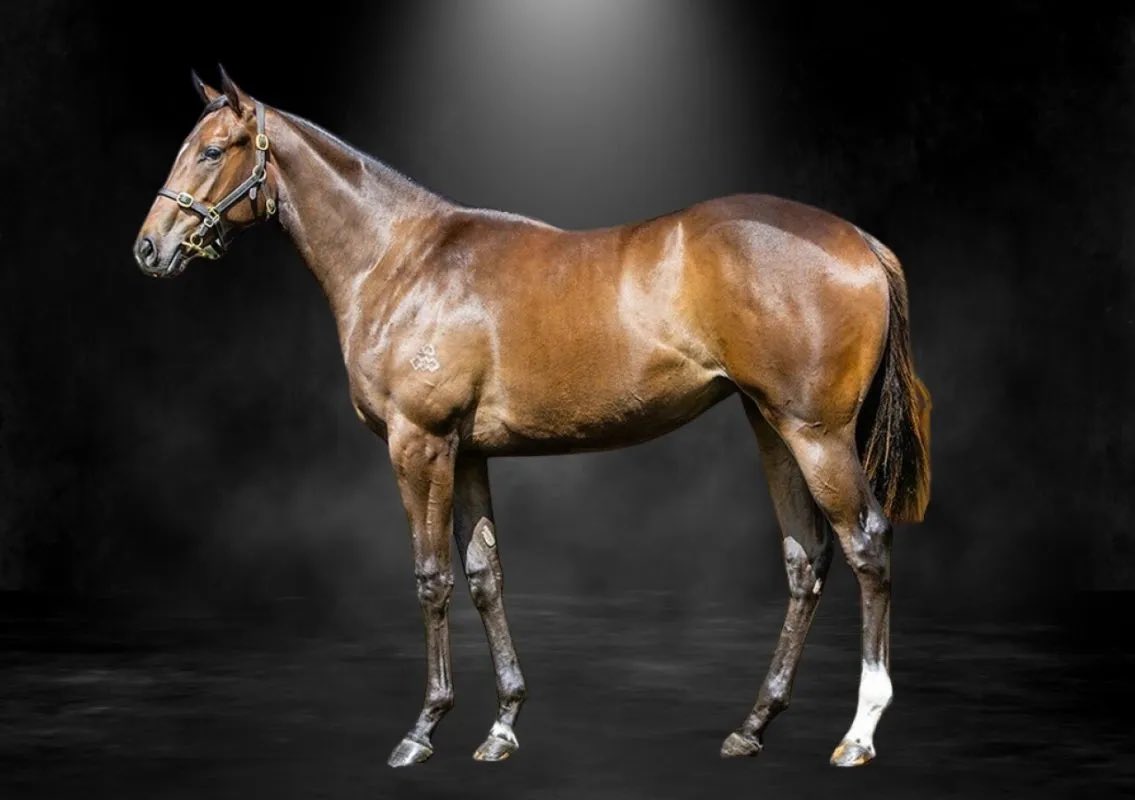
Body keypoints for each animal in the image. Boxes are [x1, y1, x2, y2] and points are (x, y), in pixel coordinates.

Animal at [133, 69, 931, 769]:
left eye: (212, 150)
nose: (149, 248)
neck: (402, 260)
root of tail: (859, 240)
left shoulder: (418, 445)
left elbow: (432, 578)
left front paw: (422, 730)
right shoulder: (466, 453)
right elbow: (485, 575)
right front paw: (502, 726)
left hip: (816, 436)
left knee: (866, 545)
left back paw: (859, 733)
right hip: (771, 427)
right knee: (806, 560)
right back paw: (752, 727)